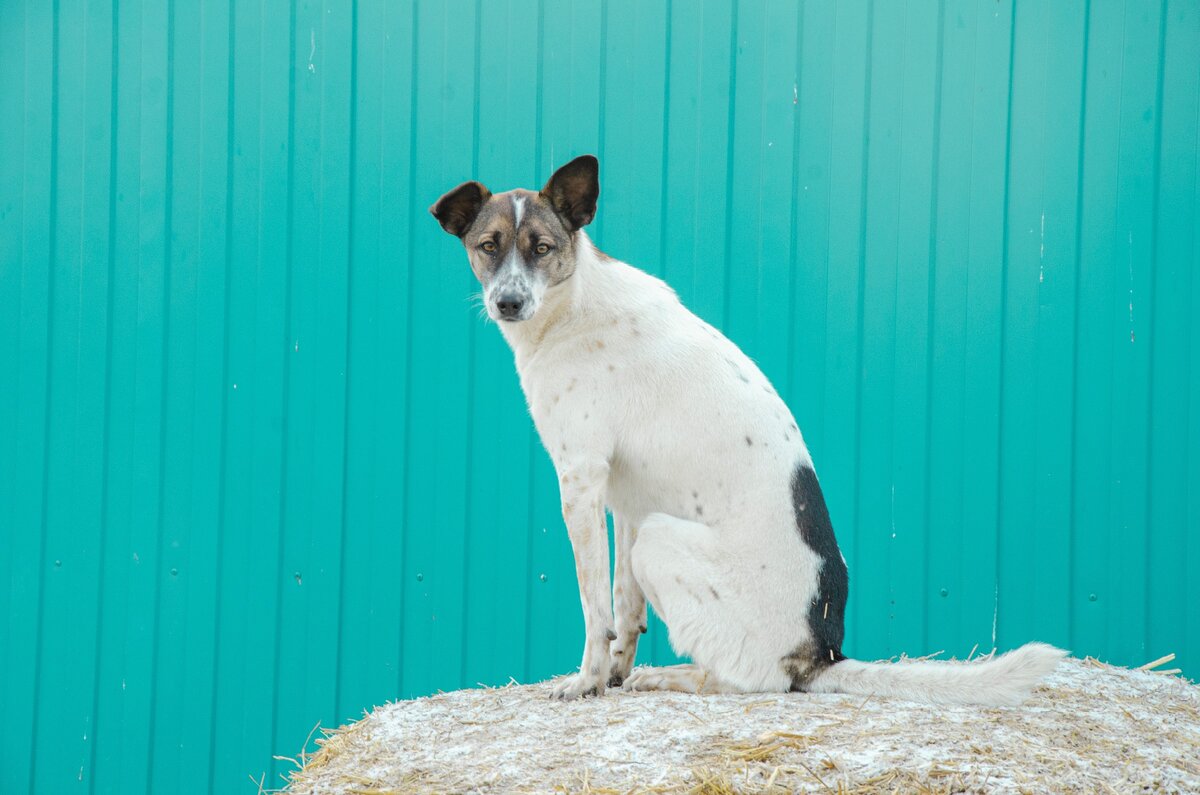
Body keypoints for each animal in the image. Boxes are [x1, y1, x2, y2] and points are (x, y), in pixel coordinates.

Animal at [432, 153, 1070, 706]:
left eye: (542, 249)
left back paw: (676, 677)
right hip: (649, 530)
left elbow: (595, 608)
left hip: (660, 540)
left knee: (754, 680)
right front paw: (612, 673)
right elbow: (624, 609)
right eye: (488, 247)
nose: (508, 302)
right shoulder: (623, 496)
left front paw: (587, 680)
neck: (572, 305)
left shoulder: (581, 480)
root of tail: (822, 653)